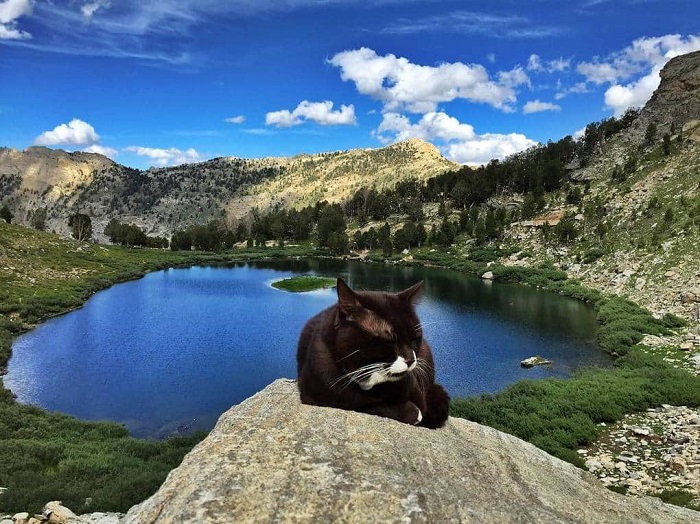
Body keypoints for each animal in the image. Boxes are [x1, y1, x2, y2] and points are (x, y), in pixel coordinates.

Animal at [296, 276, 448, 428]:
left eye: (415, 340)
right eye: (389, 341)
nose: (411, 360)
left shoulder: (415, 388)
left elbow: (421, 404)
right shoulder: (318, 391)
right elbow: (366, 406)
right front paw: (412, 412)